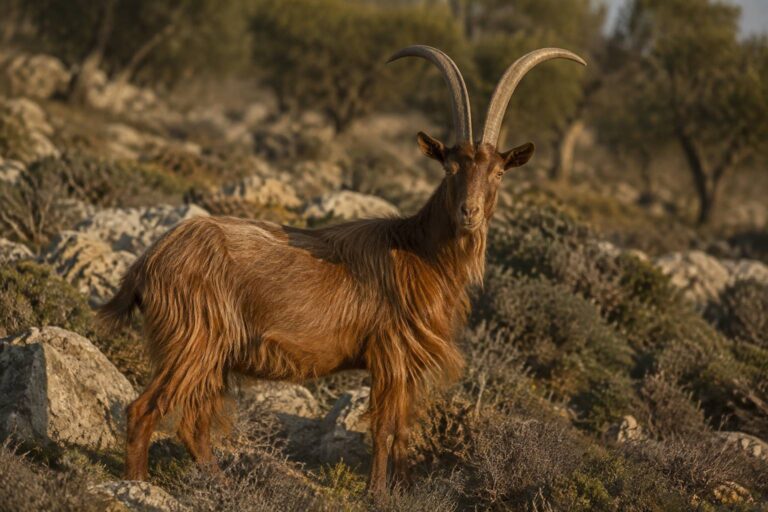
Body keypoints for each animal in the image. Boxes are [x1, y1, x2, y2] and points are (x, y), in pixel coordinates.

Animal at [98, 45, 585, 494]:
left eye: (499, 173)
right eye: (449, 166)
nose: (470, 213)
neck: (418, 251)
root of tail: (150, 260)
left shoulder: (407, 365)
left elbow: (404, 430)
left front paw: (404, 491)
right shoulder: (390, 353)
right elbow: (383, 429)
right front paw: (377, 494)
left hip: (211, 357)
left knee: (193, 426)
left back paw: (218, 485)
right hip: (193, 342)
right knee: (144, 411)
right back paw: (137, 486)